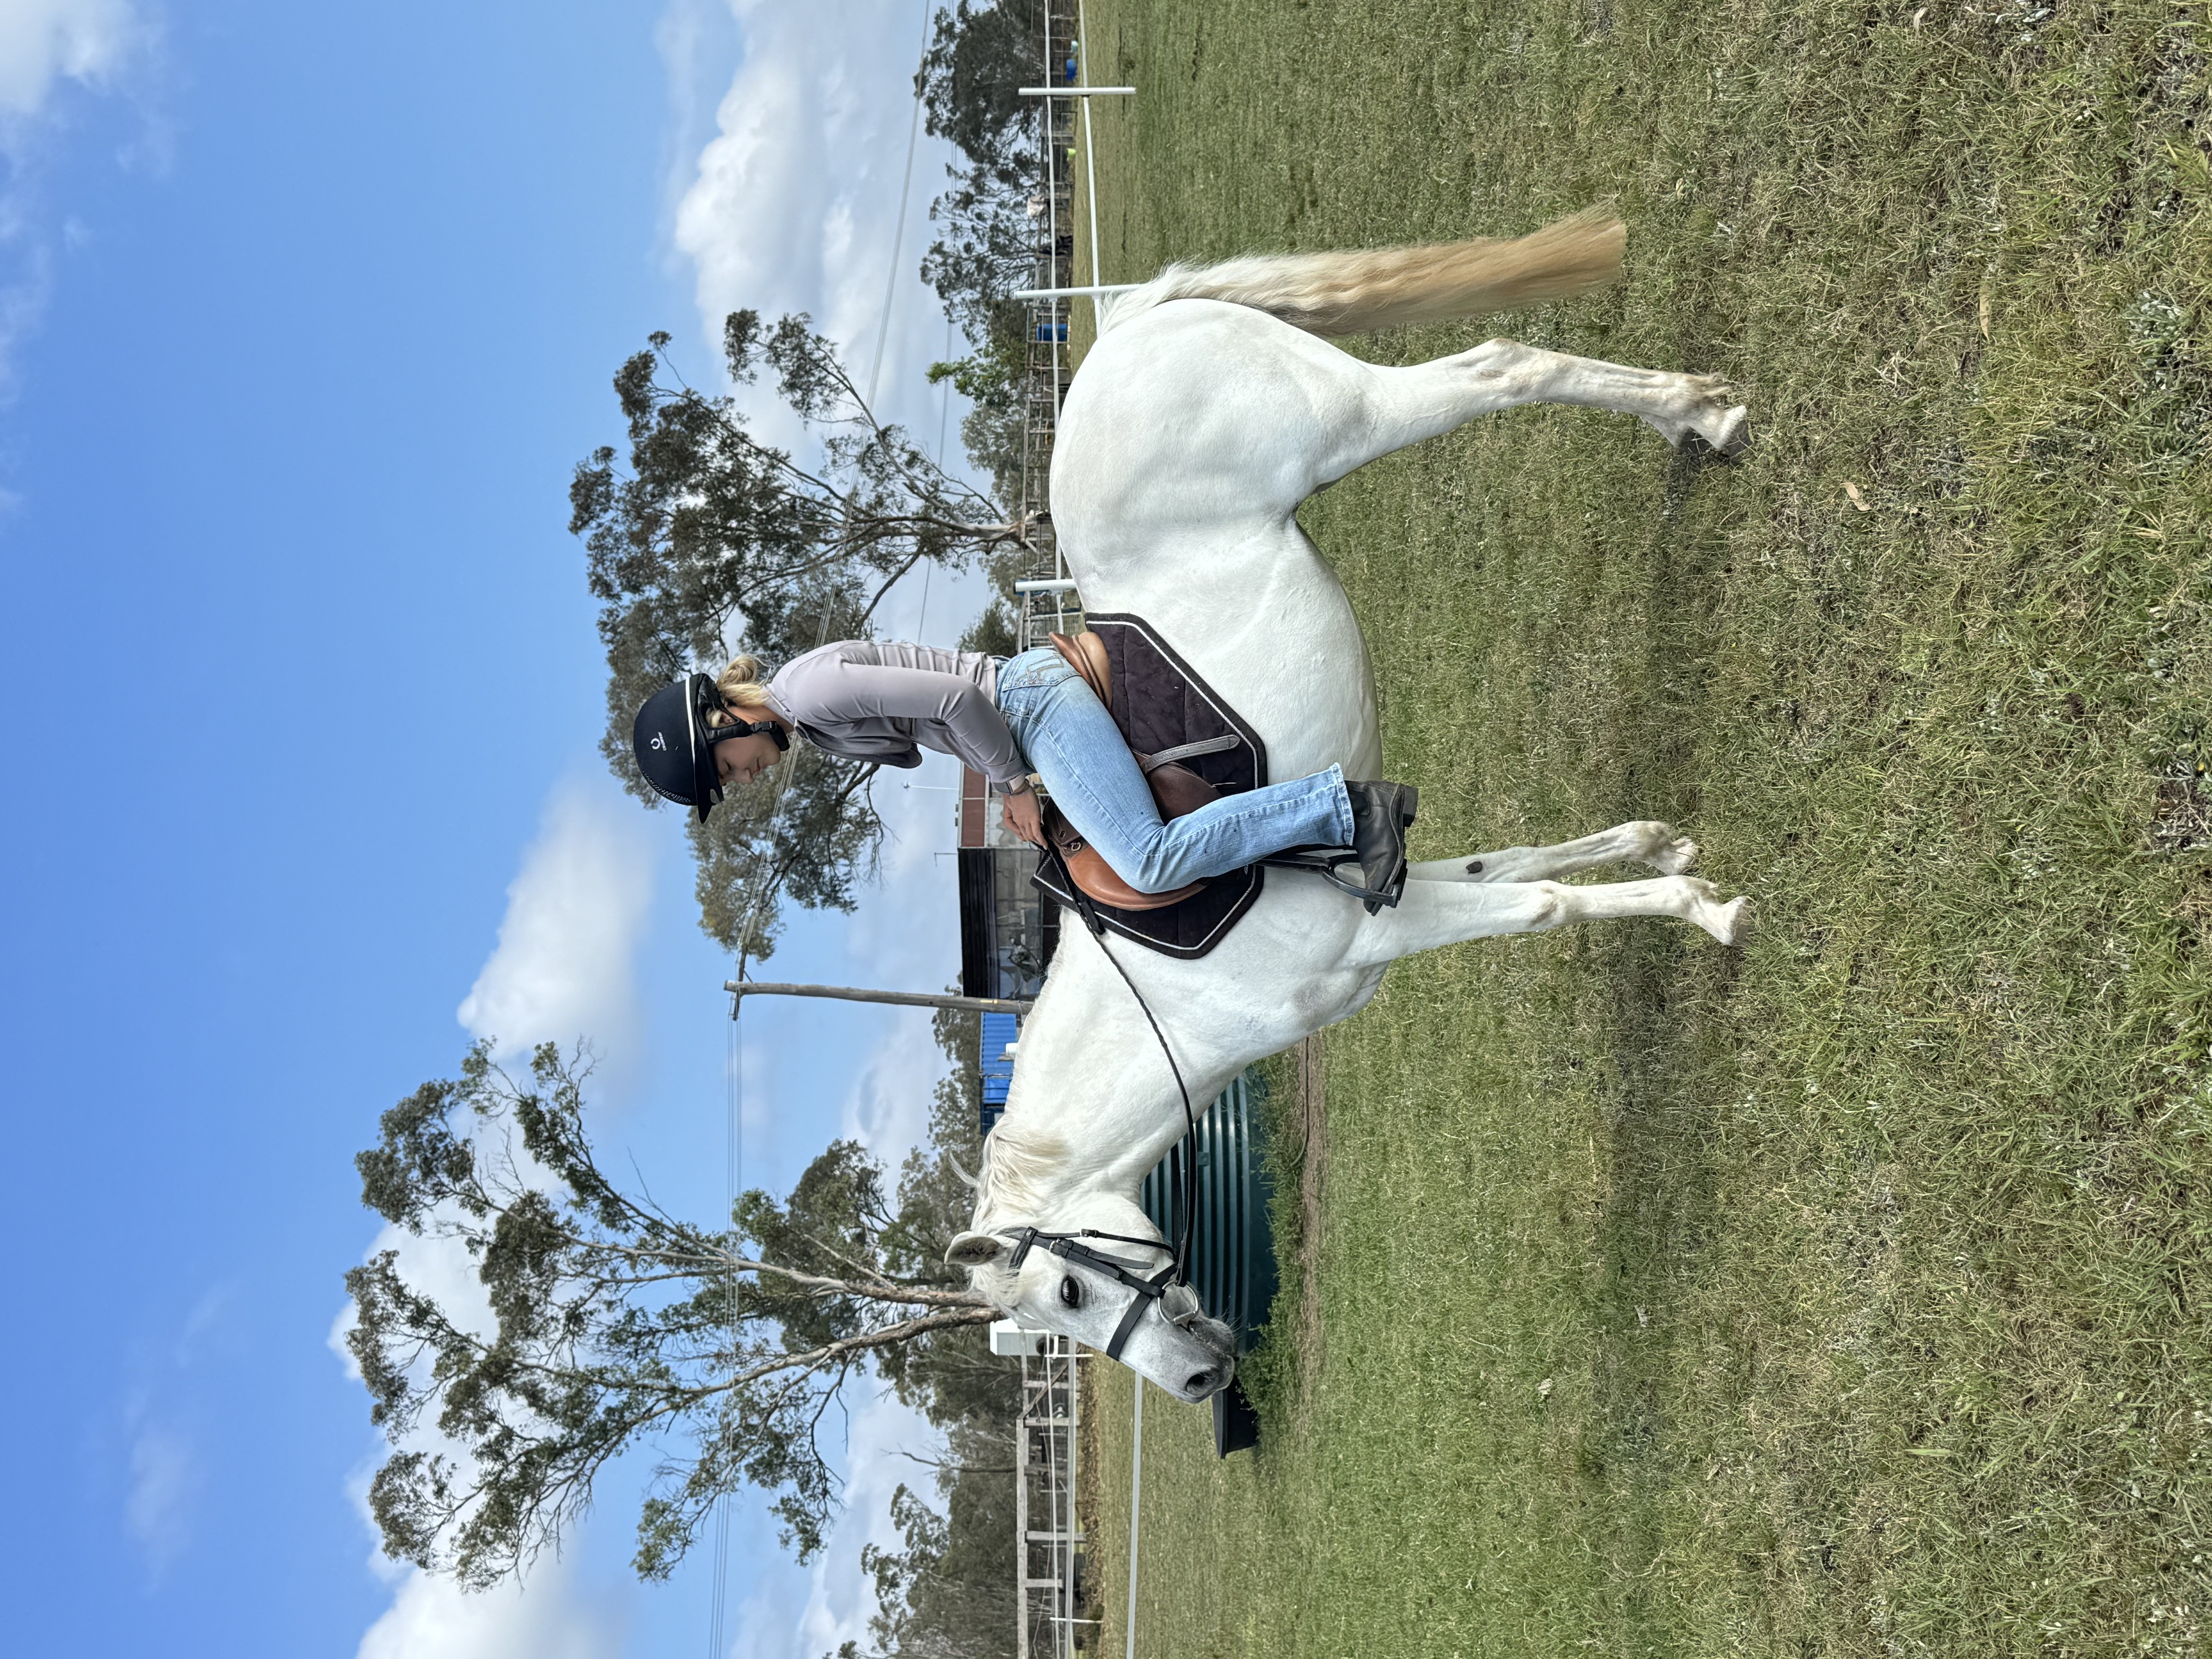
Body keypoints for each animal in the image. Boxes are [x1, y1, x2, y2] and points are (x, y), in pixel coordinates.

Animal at [943, 209, 1752, 1403]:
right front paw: (1663, 850)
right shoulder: (1405, 888)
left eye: (1071, 1295)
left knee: (1500, 367)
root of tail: (1125, 332)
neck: (1180, 996)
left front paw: (1707, 912)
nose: (1199, 1385)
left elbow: (1546, 908)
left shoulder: (1385, 927)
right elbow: (1527, 864)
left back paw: (1703, 413)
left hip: (1345, 422)